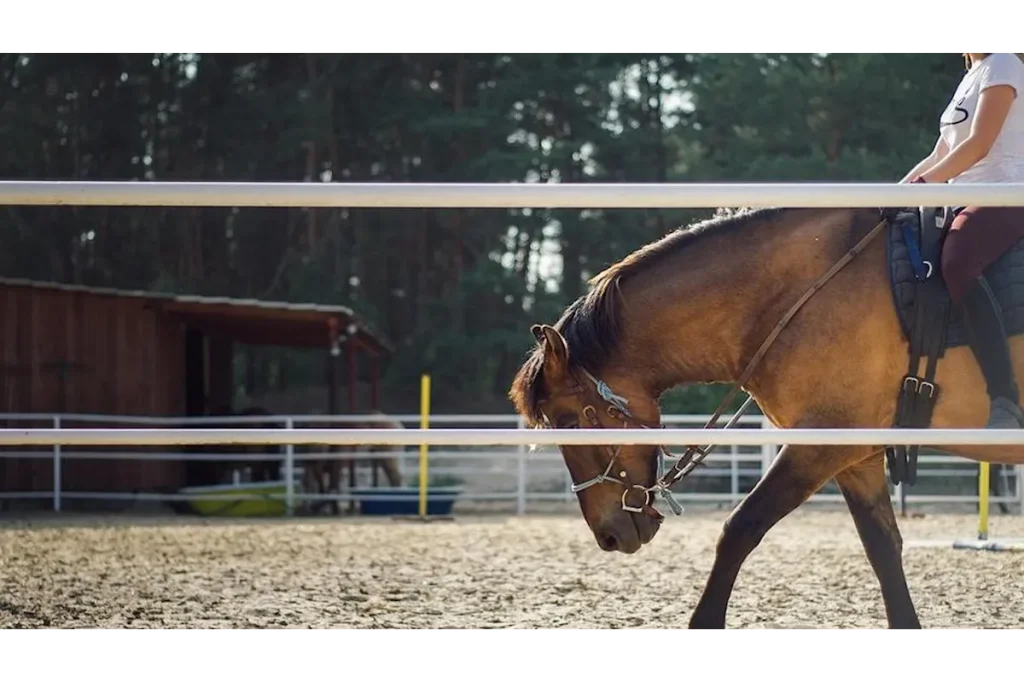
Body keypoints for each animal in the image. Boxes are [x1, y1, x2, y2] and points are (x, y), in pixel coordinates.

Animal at [512, 205, 1024, 634]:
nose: (609, 535)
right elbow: (883, 549)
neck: (801, 294)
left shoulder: (818, 446)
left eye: (567, 422)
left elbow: (740, 529)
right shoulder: (854, 458)